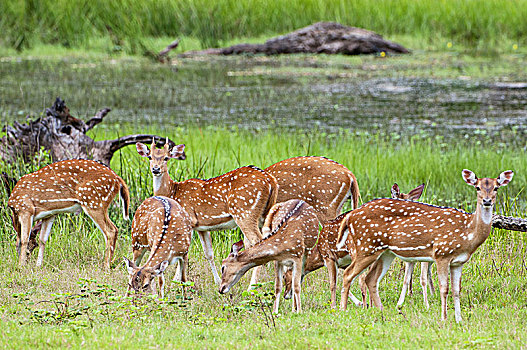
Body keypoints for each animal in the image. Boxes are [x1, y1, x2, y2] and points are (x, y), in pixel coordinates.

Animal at [137, 141, 280, 286]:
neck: (172, 192)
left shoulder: (188, 221)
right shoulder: (201, 227)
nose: (155, 169)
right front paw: (217, 281)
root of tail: (271, 181)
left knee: (258, 241)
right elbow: (209, 253)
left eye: (166, 158)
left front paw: (175, 281)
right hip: (263, 214)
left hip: (245, 212)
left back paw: (252, 285)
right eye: (149, 157)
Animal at [338, 170, 516, 322]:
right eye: (477, 187)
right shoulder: (442, 253)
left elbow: (457, 290)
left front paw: (459, 320)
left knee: (371, 278)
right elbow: (444, 288)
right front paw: (444, 318)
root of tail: (349, 217)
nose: (487, 201)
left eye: (496, 187)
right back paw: (343, 309)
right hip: (365, 246)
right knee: (348, 274)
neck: (467, 233)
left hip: (385, 252)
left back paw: (381, 311)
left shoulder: (459, 261)